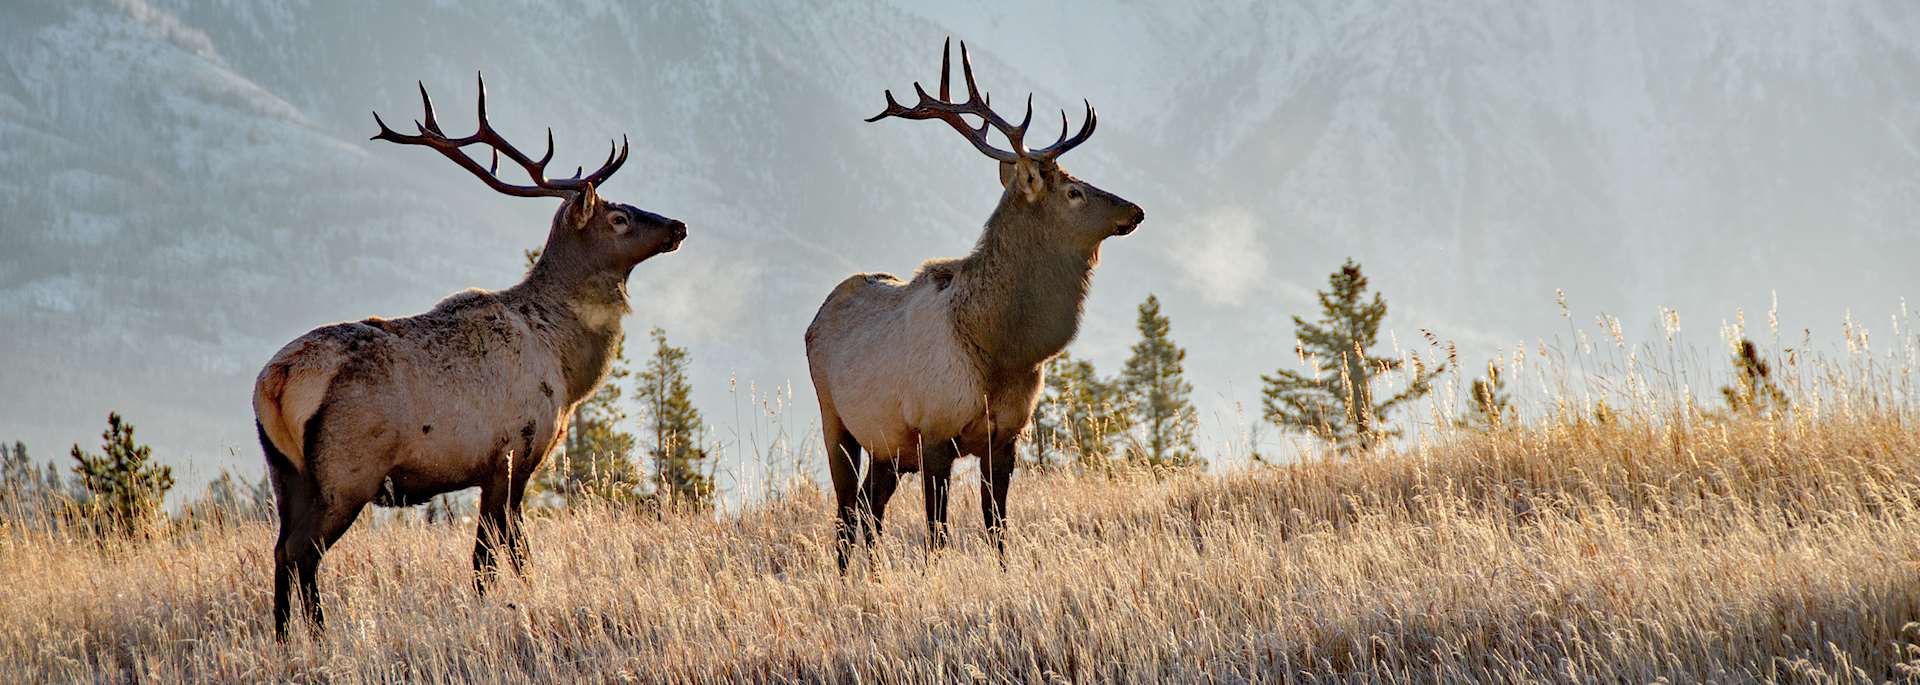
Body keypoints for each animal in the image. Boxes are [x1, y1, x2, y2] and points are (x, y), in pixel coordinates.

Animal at [252, 74, 687, 640]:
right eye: (619, 217)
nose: (677, 226)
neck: (567, 366)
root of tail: (275, 381)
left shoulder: (492, 468)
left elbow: (492, 555)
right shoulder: (515, 452)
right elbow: (504, 553)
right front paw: (512, 604)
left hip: (285, 472)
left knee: (282, 549)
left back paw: (286, 640)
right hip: (346, 472)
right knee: (304, 551)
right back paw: (321, 636)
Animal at [804, 40, 1145, 570]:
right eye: (1074, 191)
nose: (1135, 210)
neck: (1000, 349)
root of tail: (815, 318)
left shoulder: (1004, 435)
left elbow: (996, 526)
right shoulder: (934, 431)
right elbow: (936, 533)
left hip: (887, 447)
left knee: (869, 507)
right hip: (835, 420)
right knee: (845, 512)